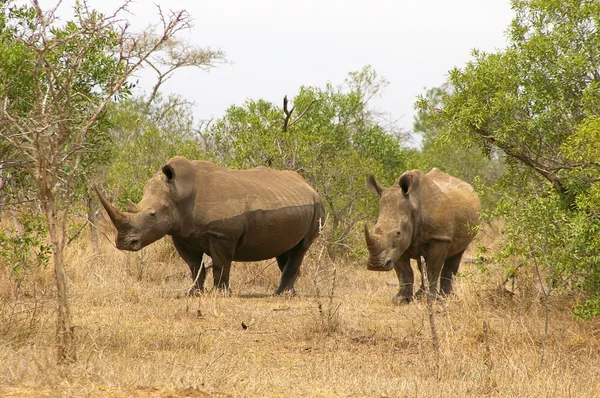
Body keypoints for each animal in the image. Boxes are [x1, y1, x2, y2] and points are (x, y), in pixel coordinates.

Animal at [97, 157, 324, 294]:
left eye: (152, 215)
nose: (124, 243)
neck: (179, 194)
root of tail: (310, 186)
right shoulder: (181, 234)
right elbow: (193, 265)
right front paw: (193, 293)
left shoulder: (221, 234)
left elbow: (220, 264)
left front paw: (221, 293)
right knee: (285, 250)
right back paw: (288, 292)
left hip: (317, 205)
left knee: (301, 247)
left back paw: (282, 294)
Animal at [364, 169, 480, 304]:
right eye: (375, 229)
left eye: (398, 233)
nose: (375, 265)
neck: (413, 203)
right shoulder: (398, 247)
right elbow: (405, 271)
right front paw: (401, 300)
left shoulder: (440, 237)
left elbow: (433, 269)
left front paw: (431, 299)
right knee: (422, 264)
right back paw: (421, 296)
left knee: (456, 255)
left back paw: (447, 297)